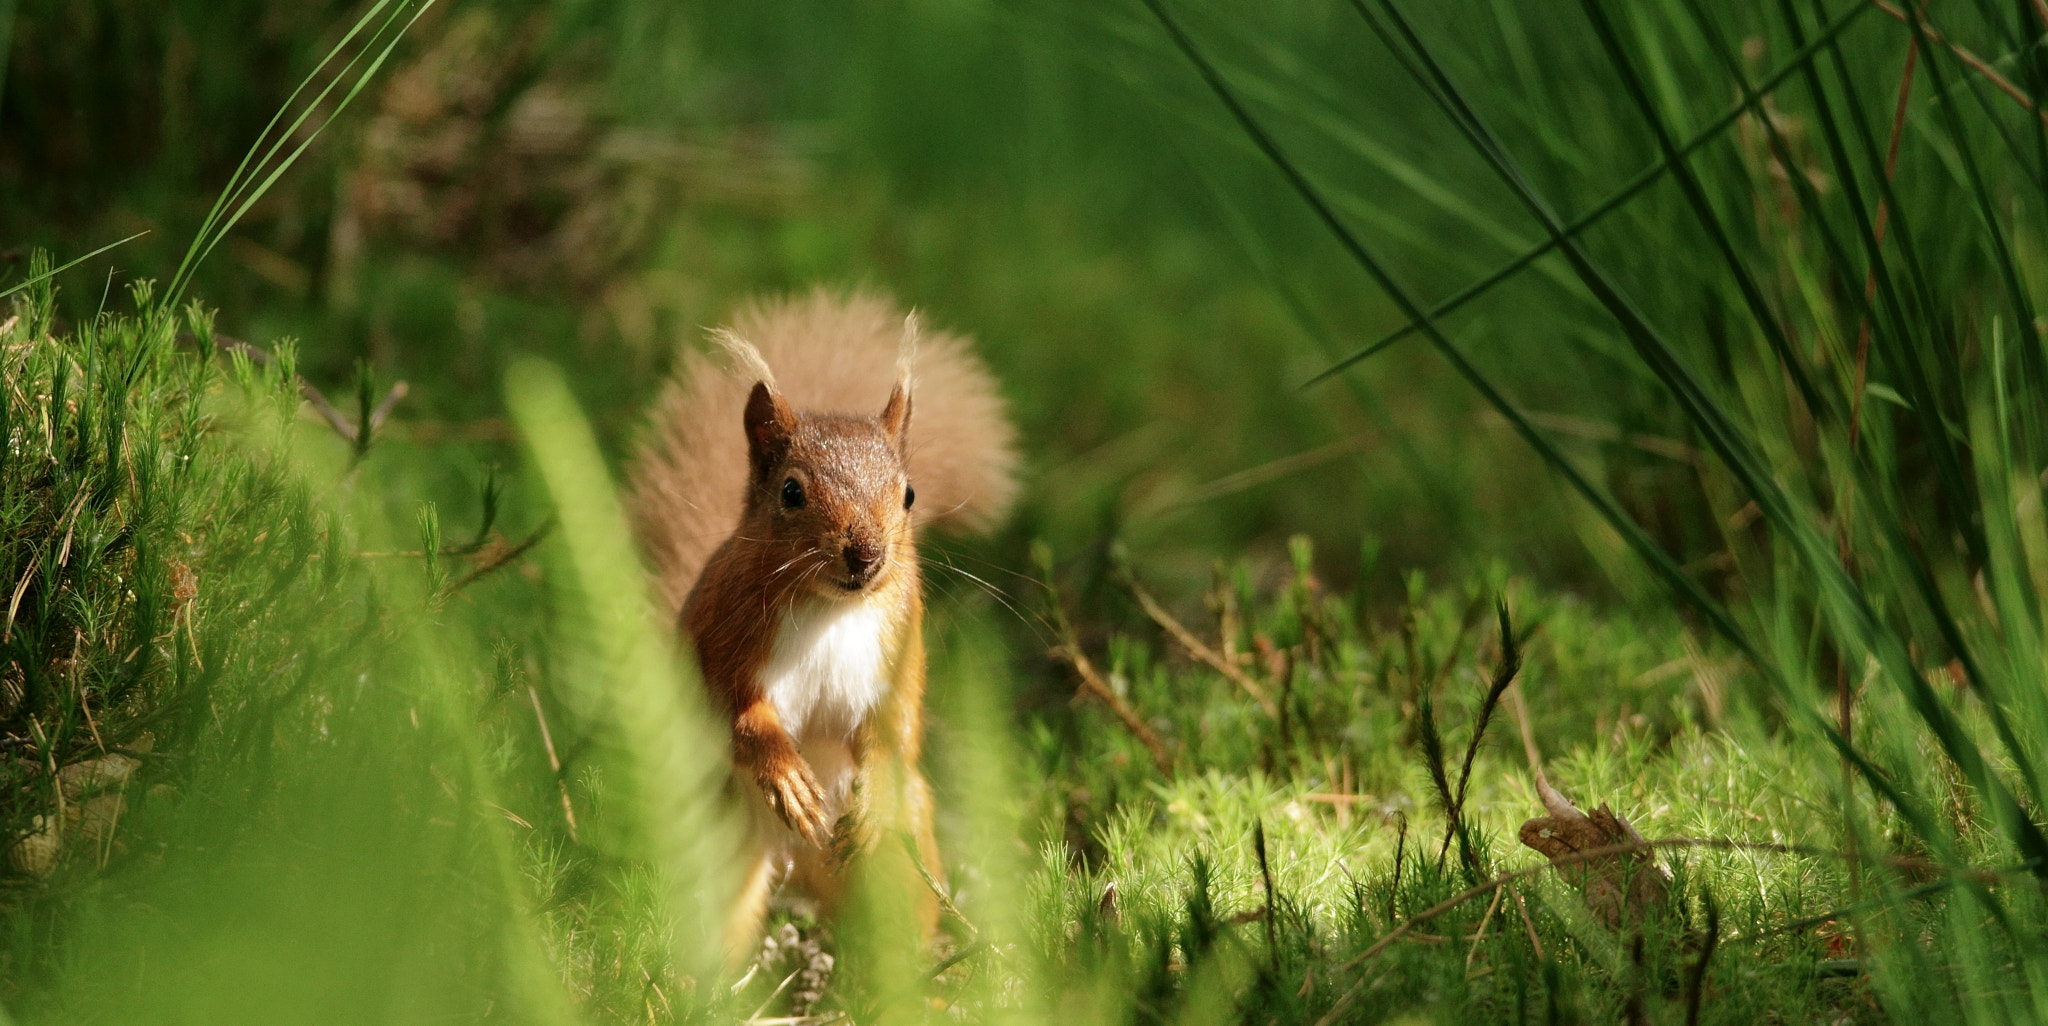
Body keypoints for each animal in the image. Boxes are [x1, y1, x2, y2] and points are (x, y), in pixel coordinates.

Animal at [618, 288, 1011, 950]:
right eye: (791, 492)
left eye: (909, 494)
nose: (867, 553)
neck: (833, 609)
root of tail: (796, 864)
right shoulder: (719, 636)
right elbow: (735, 715)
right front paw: (787, 777)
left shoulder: (899, 648)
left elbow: (895, 727)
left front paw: (872, 797)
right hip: (713, 852)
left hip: (901, 860)